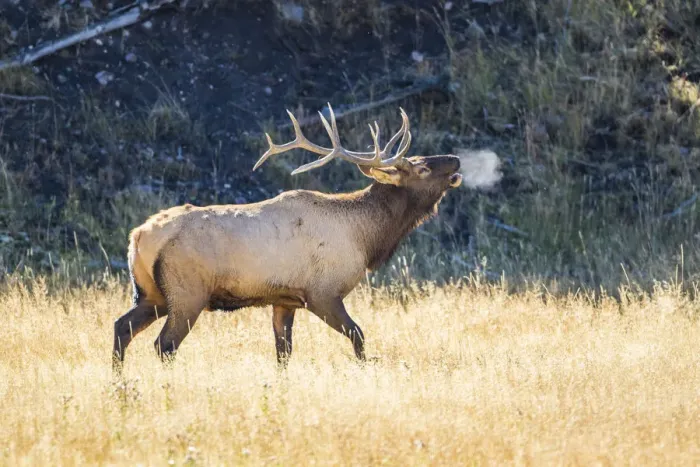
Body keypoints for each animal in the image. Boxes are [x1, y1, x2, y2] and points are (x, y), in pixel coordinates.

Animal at [112, 103, 466, 370]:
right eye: (421, 168)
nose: (456, 159)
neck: (365, 239)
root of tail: (138, 237)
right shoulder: (322, 293)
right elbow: (358, 337)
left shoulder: (284, 299)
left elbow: (283, 354)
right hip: (187, 293)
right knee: (164, 344)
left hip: (152, 293)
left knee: (121, 328)